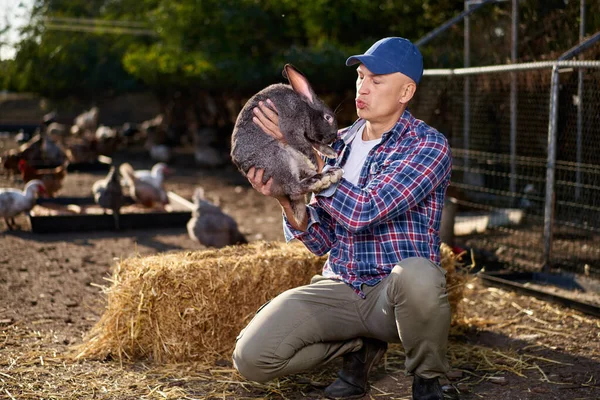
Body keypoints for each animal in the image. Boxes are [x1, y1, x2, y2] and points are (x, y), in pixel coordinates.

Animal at [230, 63, 342, 225]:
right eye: (328, 118)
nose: (333, 137)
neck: (304, 107)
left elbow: (312, 142)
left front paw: (330, 152)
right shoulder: (291, 127)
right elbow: (305, 144)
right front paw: (317, 159)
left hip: (294, 159)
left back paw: (330, 174)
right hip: (279, 157)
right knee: (293, 187)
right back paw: (319, 179)